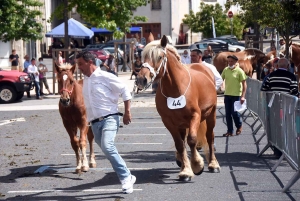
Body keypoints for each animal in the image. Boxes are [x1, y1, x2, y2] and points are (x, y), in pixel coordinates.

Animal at [137, 35, 219, 181]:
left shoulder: (195, 116)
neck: (176, 88)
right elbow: (180, 144)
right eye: (144, 57)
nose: (141, 79)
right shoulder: (168, 121)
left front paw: (197, 165)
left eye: (160, 57)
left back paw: (213, 164)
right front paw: (186, 171)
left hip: (211, 115)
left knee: (210, 137)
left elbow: (192, 139)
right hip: (182, 123)